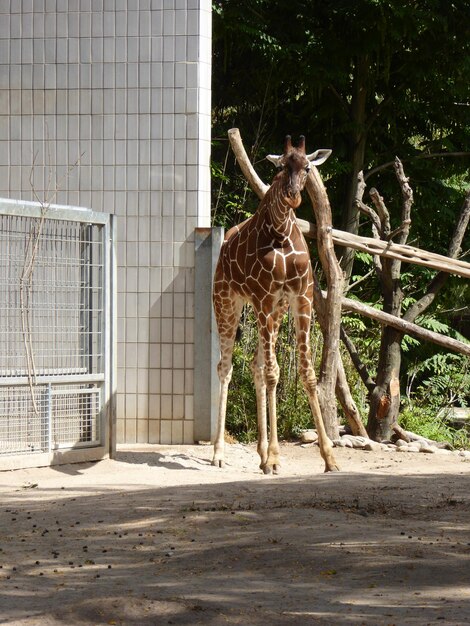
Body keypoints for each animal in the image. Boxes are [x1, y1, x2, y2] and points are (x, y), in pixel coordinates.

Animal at [212, 134, 338, 470]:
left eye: (307, 167)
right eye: (280, 167)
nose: (293, 197)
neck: (280, 232)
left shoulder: (300, 298)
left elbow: (305, 373)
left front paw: (329, 456)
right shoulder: (264, 297)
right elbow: (273, 373)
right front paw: (275, 456)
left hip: (274, 310)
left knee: (255, 366)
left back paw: (260, 451)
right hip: (226, 301)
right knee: (226, 366)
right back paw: (219, 452)